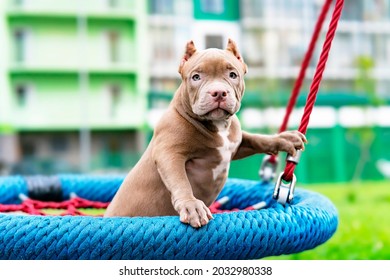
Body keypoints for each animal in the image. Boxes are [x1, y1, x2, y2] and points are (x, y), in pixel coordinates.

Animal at [105, 39, 306, 228]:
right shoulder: (169, 153)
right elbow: (180, 181)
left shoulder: (235, 144)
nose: (219, 92)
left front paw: (284, 139)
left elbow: (255, 139)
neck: (218, 125)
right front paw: (191, 205)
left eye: (233, 75)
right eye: (196, 77)